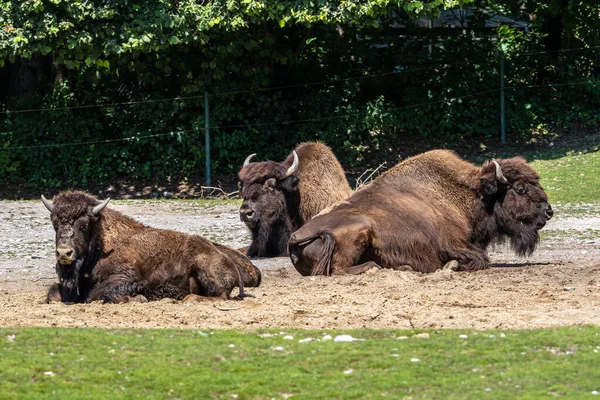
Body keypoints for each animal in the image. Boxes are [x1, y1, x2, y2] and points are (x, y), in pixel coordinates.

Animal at [39, 191, 260, 304]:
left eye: (84, 225)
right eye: (54, 224)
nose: (64, 253)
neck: (103, 242)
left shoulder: (126, 277)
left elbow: (97, 294)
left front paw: (139, 299)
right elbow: (53, 294)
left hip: (203, 267)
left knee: (219, 296)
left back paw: (183, 300)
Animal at [288, 148, 556, 276]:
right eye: (520, 188)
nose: (548, 212)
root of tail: (294, 237)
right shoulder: (454, 243)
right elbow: (479, 259)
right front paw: (452, 266)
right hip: (358, 231)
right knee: (340, 269)